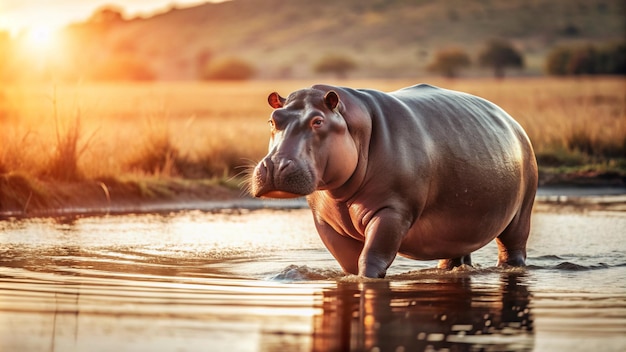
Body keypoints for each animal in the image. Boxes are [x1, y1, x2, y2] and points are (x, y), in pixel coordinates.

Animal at [249, 84, 536, 278]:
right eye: (273, 120)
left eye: (318, 121)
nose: (275, 166)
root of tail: (513, 122)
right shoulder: (325, 222)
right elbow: (348, 264)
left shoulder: (392, 211)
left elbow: (371, 257)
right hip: (459, 223)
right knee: (456, 255)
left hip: (521, 211)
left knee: (512, 248)